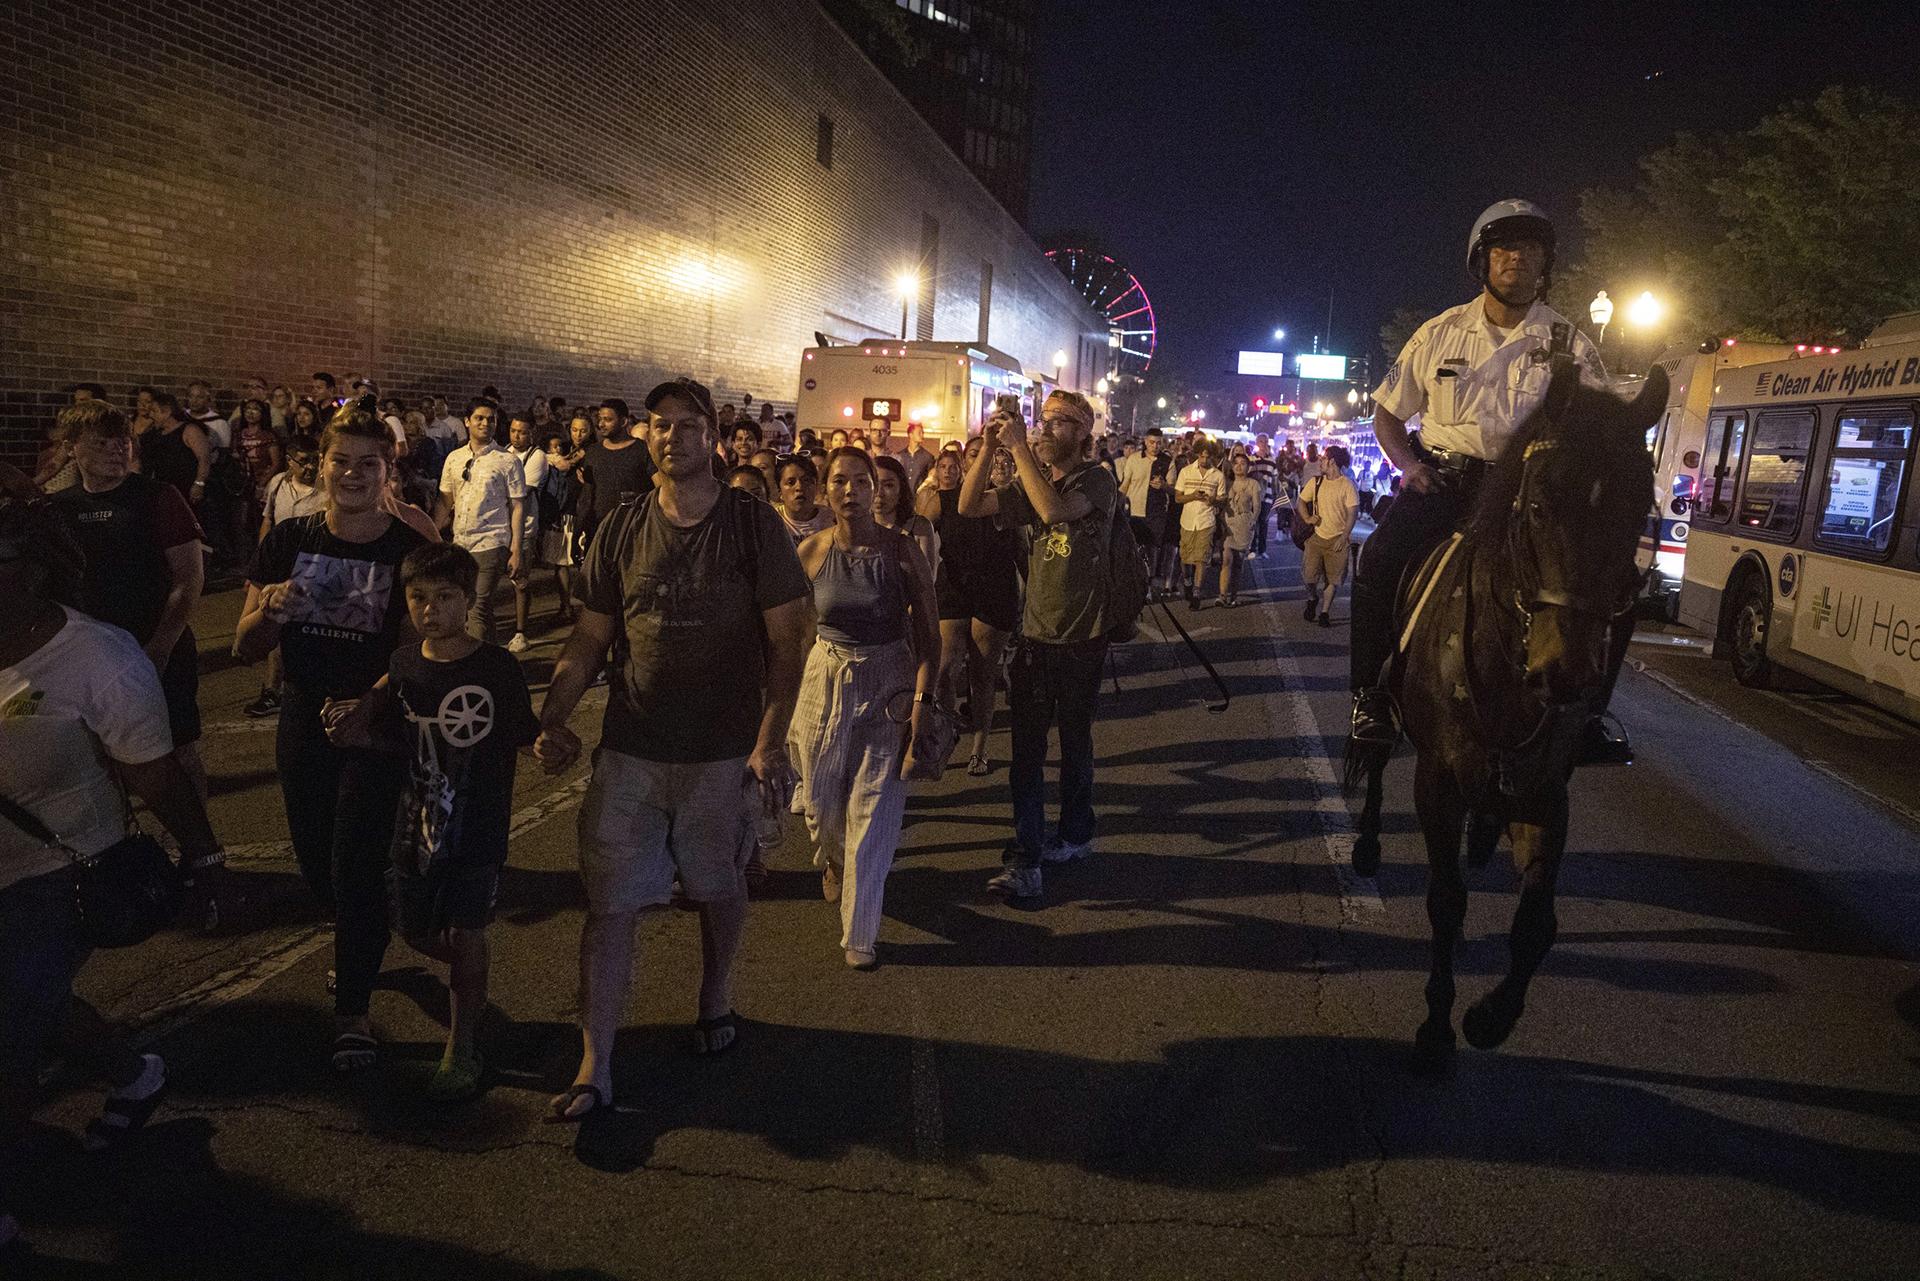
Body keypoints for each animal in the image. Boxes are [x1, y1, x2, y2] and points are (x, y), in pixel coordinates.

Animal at [1344, 355, 1658, 1075]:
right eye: (1539, 504)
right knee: (1374, 763)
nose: (1565, 670)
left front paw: (1490, 1015)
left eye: (1638, 512)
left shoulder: (1546, 793)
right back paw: (1369, 840)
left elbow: (1537, 922)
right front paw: (1437, 1028)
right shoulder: (1437, 781)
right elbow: (1446, 899)